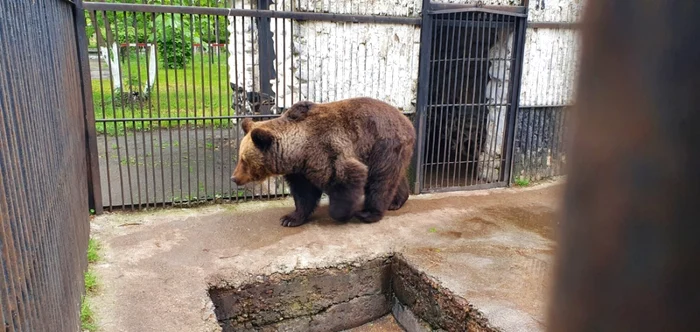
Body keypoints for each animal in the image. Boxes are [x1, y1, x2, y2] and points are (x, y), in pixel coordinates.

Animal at [230, 96, 416, 226]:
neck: (299, 150)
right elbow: (303, 194)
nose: (234, 177)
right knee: (393, 176)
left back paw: (369, 213)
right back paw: (396, 201)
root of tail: (407, 121)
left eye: (244, 160)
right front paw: (290, 218)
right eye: (240, 158)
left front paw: (342, 213)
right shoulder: (300, 171)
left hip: (383, 144)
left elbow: (347, 177)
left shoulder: (328, 149)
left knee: (380, 180)